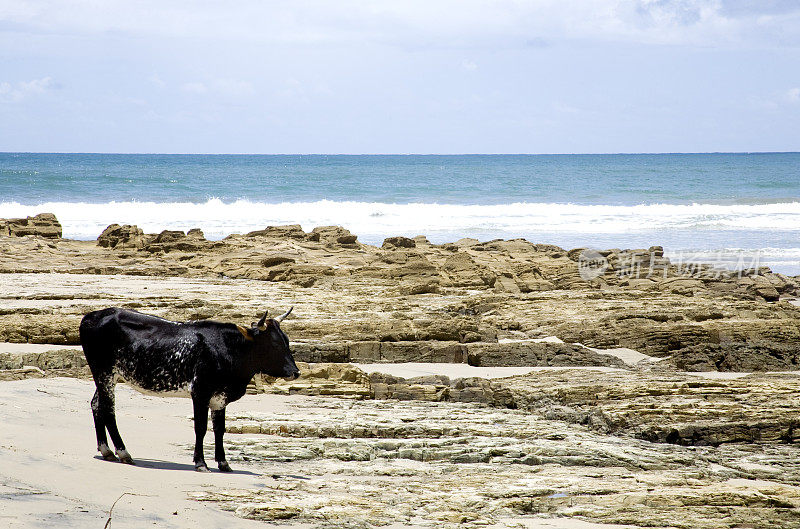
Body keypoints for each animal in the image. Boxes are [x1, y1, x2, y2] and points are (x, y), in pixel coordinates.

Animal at [79, 306, 298, 470]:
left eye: (286, 341)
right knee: (108, 410)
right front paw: (200, 463)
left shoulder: (220, 397)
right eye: (274, 344)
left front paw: (223, 463)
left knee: (97, 405)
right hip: (104, 373)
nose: (295, 372)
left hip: (109, 377)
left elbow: (219, 429)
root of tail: (91, 316)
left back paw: (106, 450)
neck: (227, 348)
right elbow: (200, 427)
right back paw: (123, 452)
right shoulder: (200, 392)